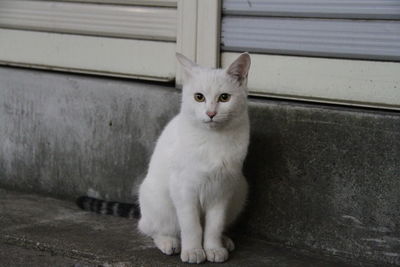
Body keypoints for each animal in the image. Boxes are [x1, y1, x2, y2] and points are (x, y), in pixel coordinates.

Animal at [138, 52, 250, 264]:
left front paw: (213, 248)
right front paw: (193, 251)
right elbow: (191, 227)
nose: (211, 113)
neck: (213, 140)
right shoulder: (184, 190)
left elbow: (214, 226)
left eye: (224, 97)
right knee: (151, 229)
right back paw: (168, 241)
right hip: (158, 202)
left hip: (240, 189)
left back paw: (225, 241)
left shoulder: (222, 191)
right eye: (199, 97)